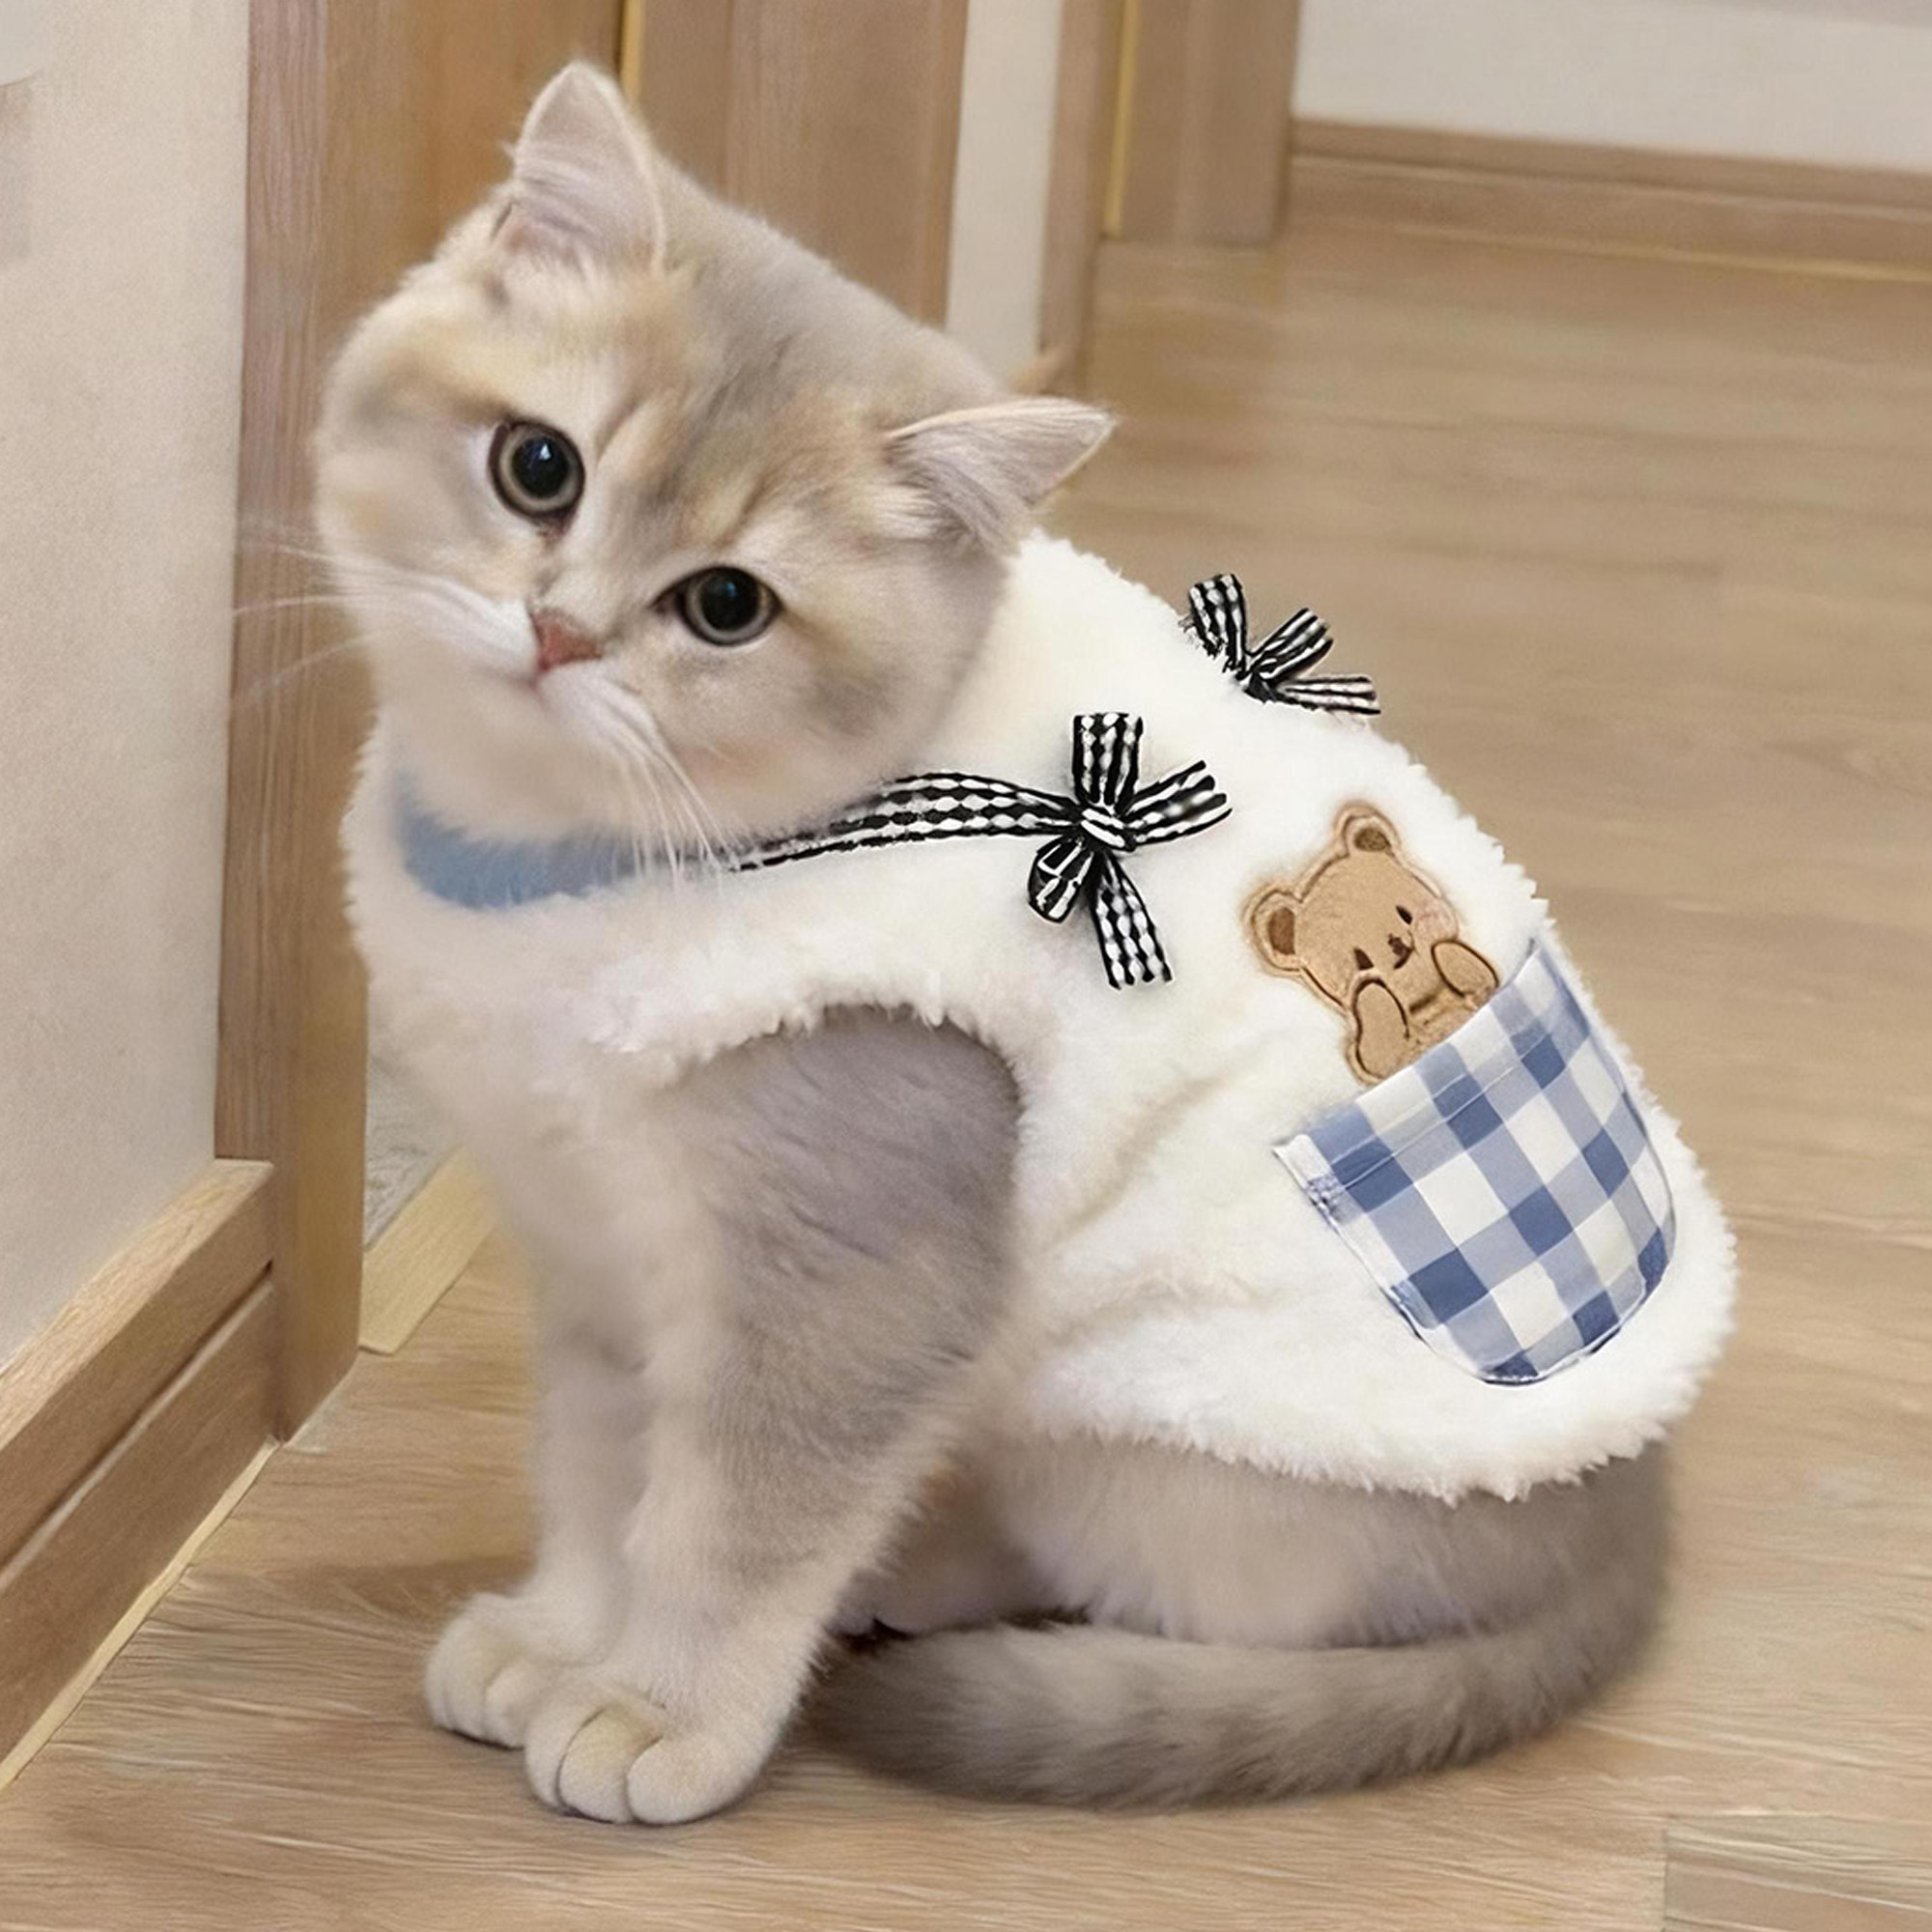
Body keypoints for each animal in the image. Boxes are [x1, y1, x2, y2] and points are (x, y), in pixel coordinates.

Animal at [1247, 805, 1499, 1084]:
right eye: (1361, 959)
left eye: (1406, 915)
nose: (1397, 942)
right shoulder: (1377, 1056)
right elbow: (1378, 1050)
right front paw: (1373, 996)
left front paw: (1446, 952)